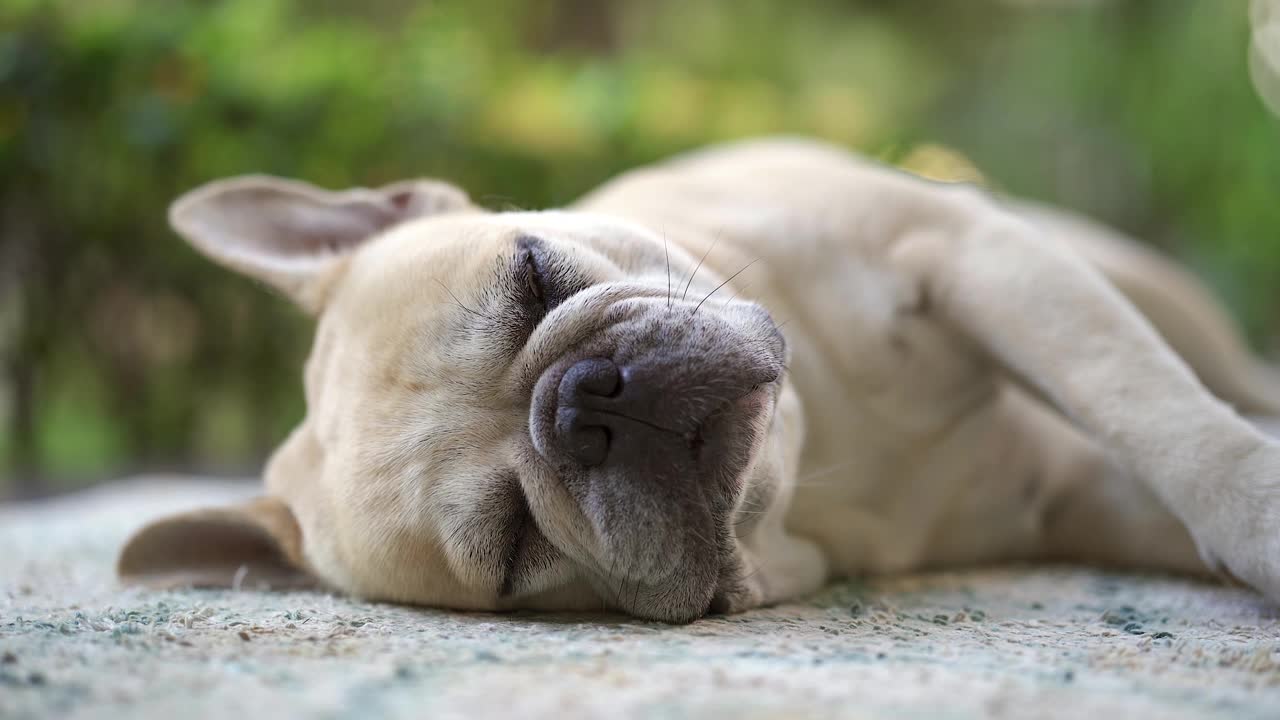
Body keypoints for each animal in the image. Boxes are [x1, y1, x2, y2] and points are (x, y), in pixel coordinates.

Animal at [117, 137, 1280, 620]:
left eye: (532, 275)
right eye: (512, 545)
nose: (582, 403)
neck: (820, 465)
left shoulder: (971, 252)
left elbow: (1145, 403)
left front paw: (1255, 505)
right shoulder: (1077, 499)